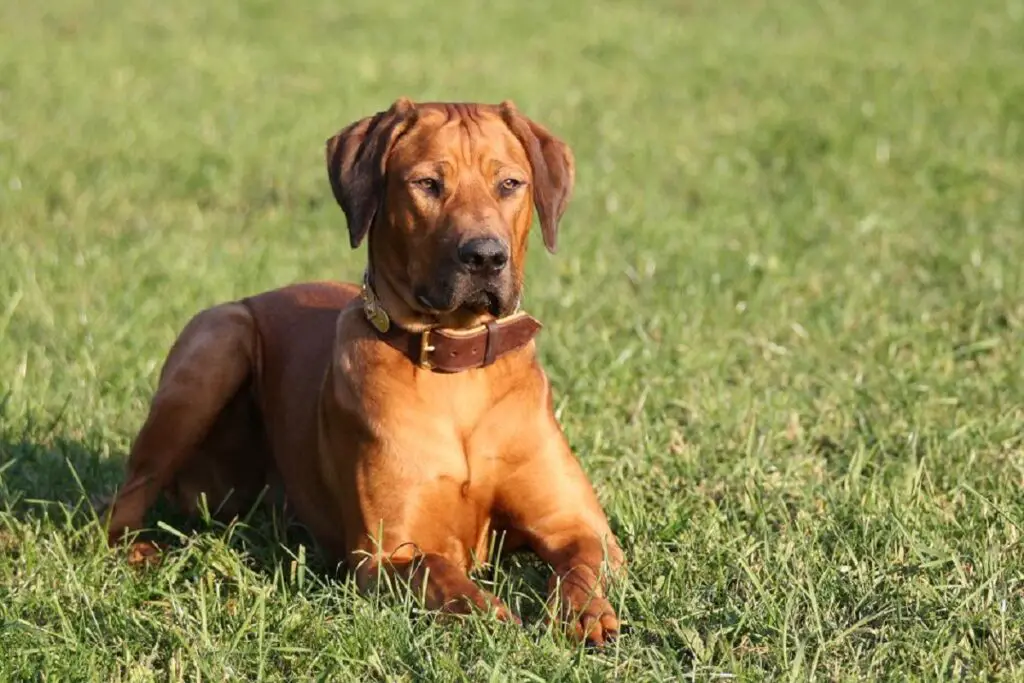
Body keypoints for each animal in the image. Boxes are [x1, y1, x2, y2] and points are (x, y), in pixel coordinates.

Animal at [105, 98, 630, 643]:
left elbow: (582, 564)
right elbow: (437, 571)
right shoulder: (384, 555)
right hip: (219, 337)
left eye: (510, 183)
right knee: (120, 503)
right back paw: (138, 550)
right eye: (427, 184)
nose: (486, 256)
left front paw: (585, 613)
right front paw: (491, 615)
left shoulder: (580, 526)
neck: (459, 372)